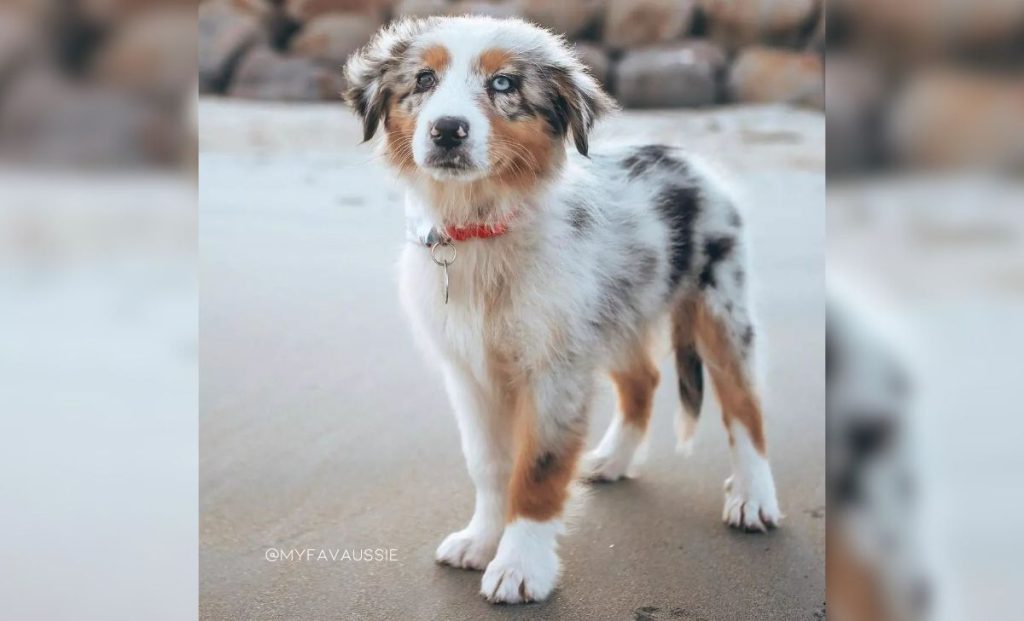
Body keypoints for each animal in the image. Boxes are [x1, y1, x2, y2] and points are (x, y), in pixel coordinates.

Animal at [346, 15, 782, 606]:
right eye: (423, 80)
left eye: (504, 83)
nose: (447, 130)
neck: (482, 231)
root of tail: (688, 158)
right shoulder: (471, 372)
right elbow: (489, 464)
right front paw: (481, 540)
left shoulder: (555, 367)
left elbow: (537, 468)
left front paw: (520, 566)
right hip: (616, 310)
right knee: (643, 380)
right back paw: (613, 460)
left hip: (720, 306)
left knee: (743, 403)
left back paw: (754, 497)